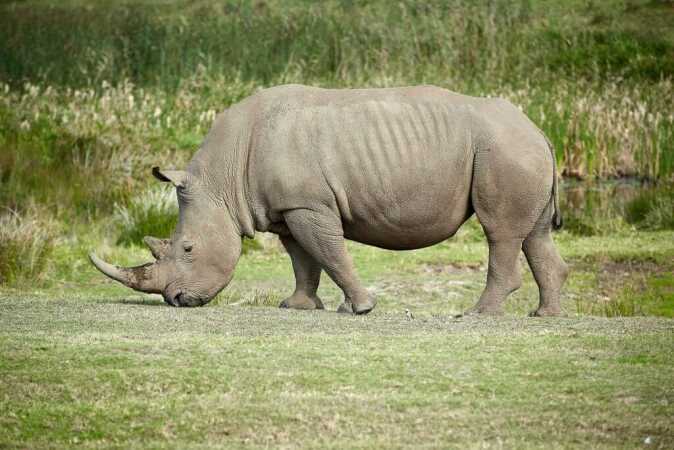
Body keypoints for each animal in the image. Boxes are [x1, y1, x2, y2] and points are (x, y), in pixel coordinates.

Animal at [90, 84, 568, 316]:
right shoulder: (287, 208)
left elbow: (330, 253)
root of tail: (538, 128)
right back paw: (545, 316)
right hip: (517, 148)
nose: (175, 300)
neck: (222, 182)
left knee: (500, 231)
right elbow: (303, 260)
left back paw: (477, 315)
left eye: (188, 248)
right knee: (535, 234)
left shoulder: (308, 204)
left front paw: (361, 308)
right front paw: (298, 307)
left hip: (502, 149)